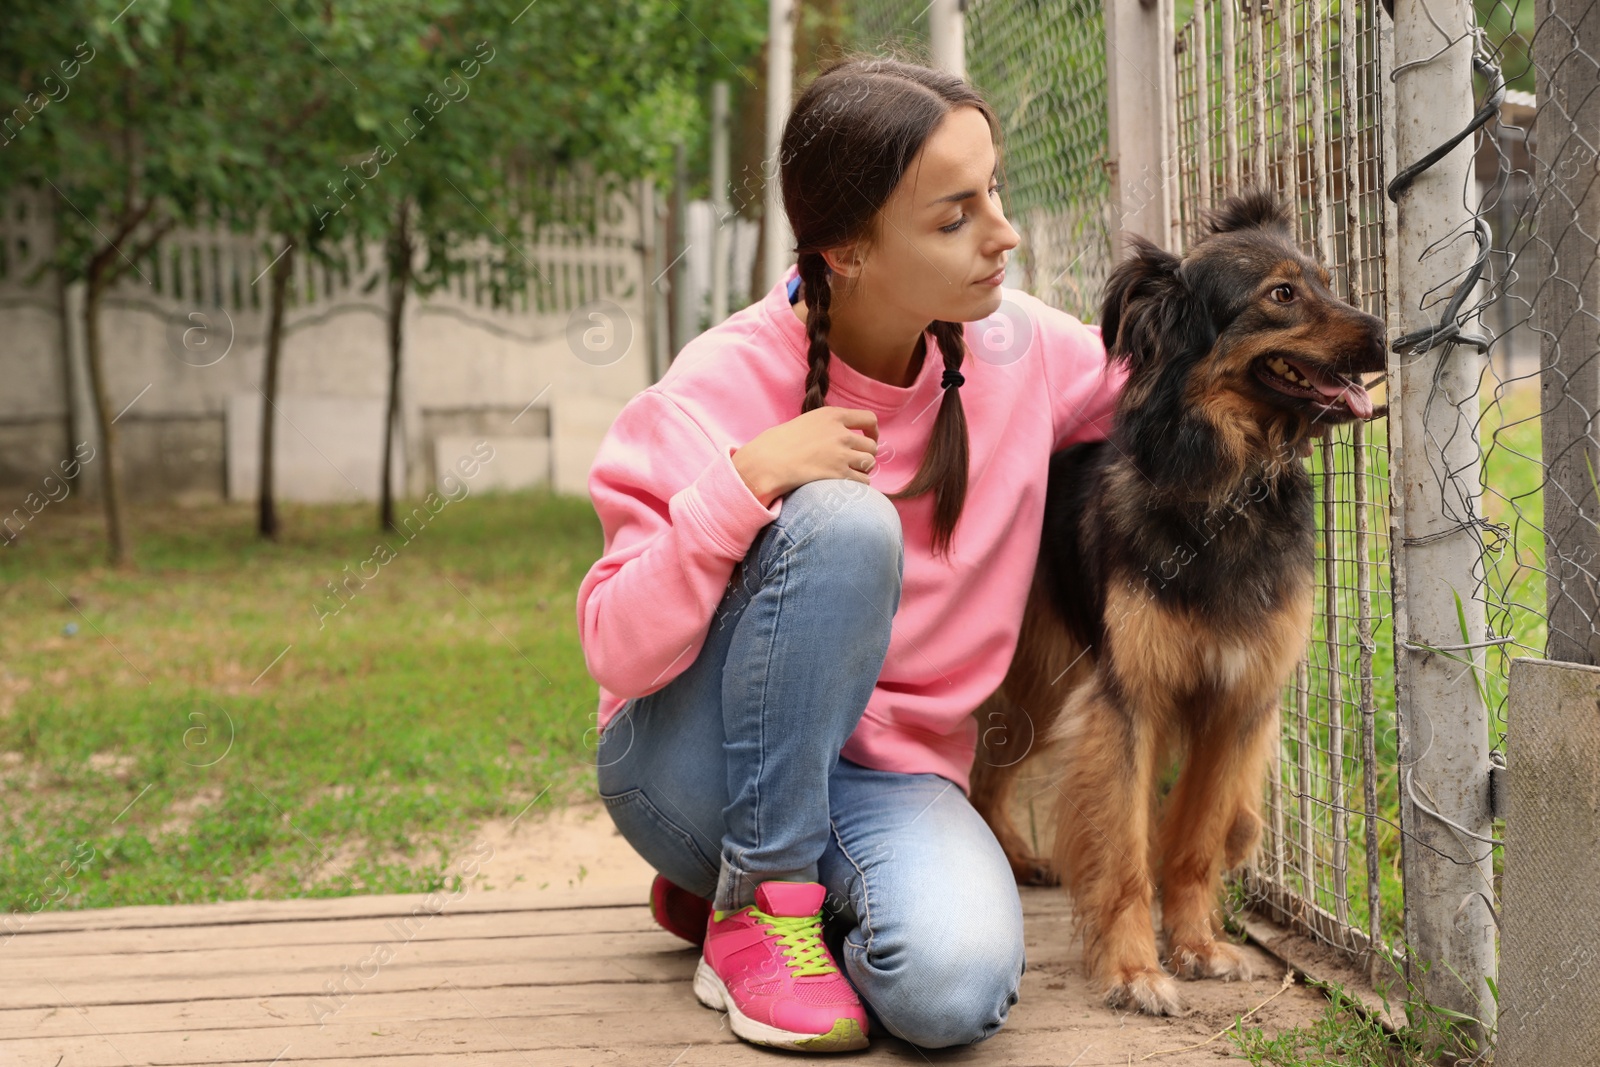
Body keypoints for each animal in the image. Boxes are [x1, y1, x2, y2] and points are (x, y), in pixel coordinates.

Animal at [966, 187, 1395, 1017]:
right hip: (1039, 677)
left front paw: (1197, 945)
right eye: (1282, 295)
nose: (1388, 335)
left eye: (1326, 282)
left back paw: (1020, 858)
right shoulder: (1130, 697)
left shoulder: (1238, 699)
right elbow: (1128, 847)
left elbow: (1193, 840)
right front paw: (1134, 969)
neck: (1228, 486)